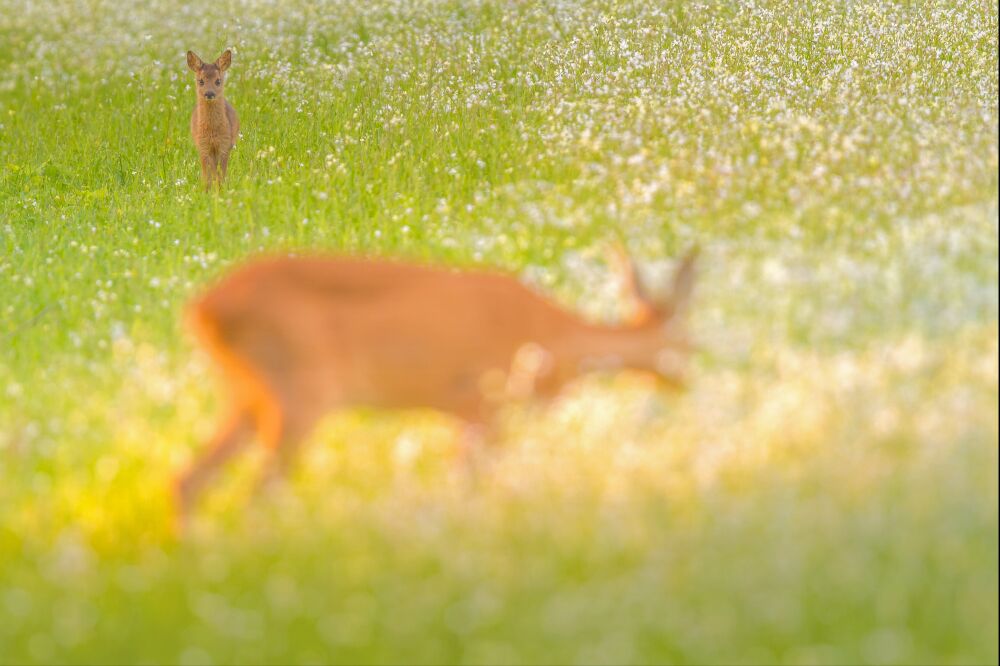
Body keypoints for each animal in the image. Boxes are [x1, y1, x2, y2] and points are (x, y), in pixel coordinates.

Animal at [174, 248, 696, 520]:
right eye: (686, 340)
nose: (687, 383)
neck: (553, 337)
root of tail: (202, 309)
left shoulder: (464, 415)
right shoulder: (486, 404)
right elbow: (469, 489)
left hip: (247, 393)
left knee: (188, 479)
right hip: (302, 392)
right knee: (256, 492)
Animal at [186, 49, 238, 188]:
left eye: (218, 81)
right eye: (201, 81)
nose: (209, 93)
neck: (212, 132)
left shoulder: (225, 144)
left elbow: (221, 174)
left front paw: (221, 188)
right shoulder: (203, 145)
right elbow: (209, 175)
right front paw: (209, 189)